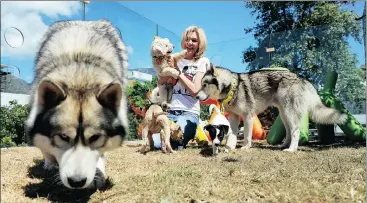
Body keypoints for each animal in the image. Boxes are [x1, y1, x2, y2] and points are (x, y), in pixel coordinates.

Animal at [197, 64, 350, 151]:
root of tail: (301, 79)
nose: (196, 96)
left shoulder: (247, 117)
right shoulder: (234, 118)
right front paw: (230, 147)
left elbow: (246, 136)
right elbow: (232, 136)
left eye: (204, 85)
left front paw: (245, 147)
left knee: (295, 132)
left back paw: (291, 149)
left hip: (290, 114)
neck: (232, 87)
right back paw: (284, 146)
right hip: (284, 115)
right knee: (288, 132)